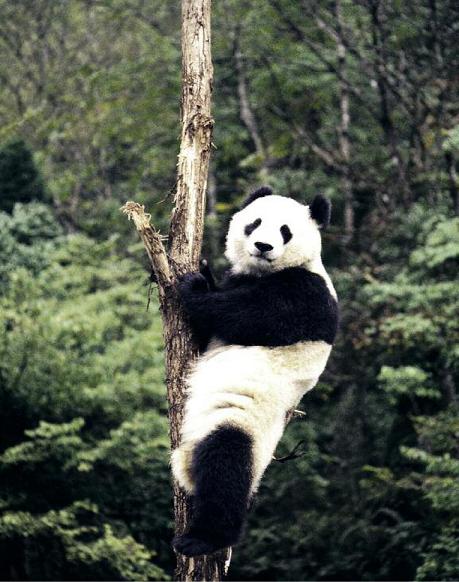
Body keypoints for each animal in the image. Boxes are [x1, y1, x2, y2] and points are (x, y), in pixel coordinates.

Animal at [171, 189, 340, 560]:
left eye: (285, 231)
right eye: (255, 222)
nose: (263, 246)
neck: (265, 273)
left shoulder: (306, 294)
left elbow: (244, 314)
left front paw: (195, 285)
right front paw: (204, 271)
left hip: (243, 419)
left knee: (226, 463)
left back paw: (203, 539)